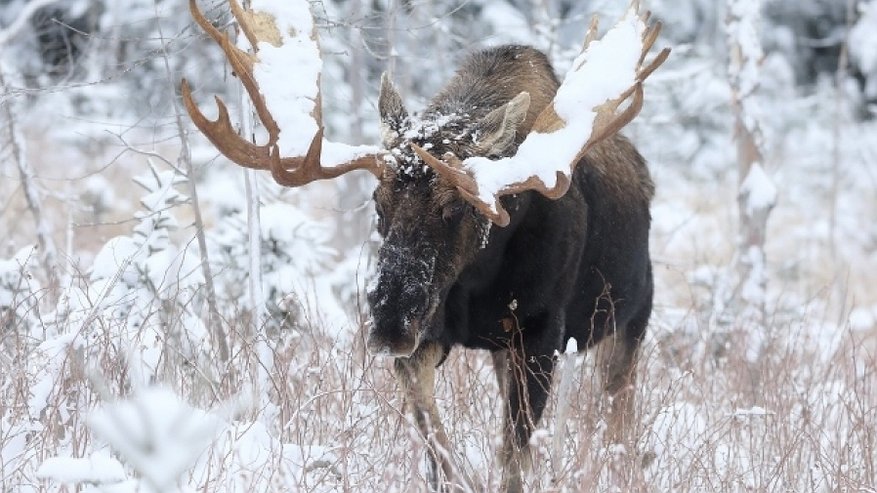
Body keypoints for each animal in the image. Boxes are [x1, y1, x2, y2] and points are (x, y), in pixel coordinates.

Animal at [181, 0, 668, 488]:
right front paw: (460, 480)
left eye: (455, 208)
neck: (480, 281)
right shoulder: (431, 335)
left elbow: (514, 457)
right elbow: (432, 431)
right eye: (377, 204)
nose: (388, 324)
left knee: (618, 410)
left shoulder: (541, 333)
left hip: (631, 317)